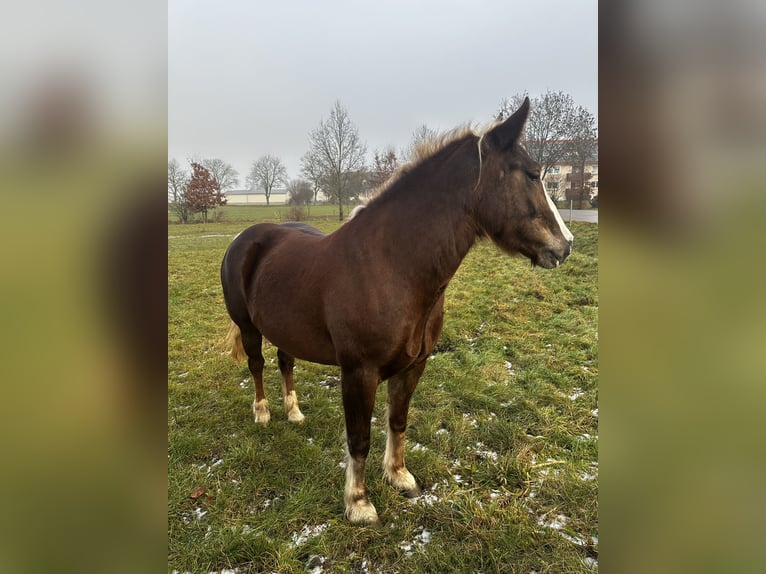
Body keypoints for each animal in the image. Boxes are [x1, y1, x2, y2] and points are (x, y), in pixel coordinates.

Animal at [219, 99, 572, 528]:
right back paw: (264, 413)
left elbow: (397, 421)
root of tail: (246, 238)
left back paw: (294, 412)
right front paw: (359, 503)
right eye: (533, 174)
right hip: (248, 326)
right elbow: (359, 438)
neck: (393, 267)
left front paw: (400, 476)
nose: (565, 245)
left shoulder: (413, 365)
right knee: (256, 364)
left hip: (285, 328)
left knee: (285, 362)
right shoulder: (359, 372)